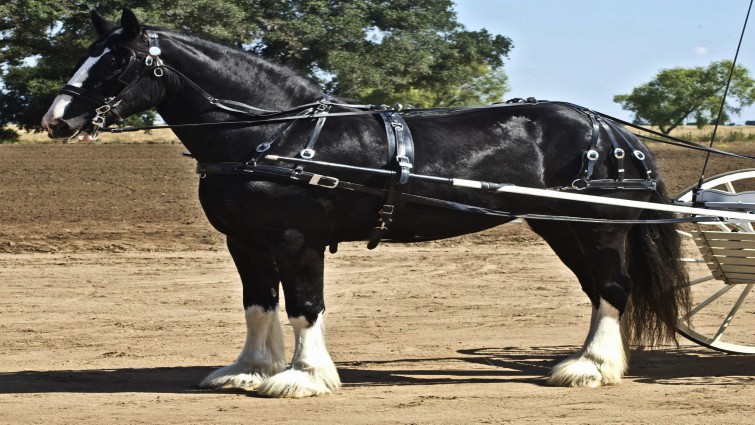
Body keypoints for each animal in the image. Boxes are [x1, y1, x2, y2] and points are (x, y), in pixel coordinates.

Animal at [42, 9, 690, 397]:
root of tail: (610, 129)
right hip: (559, 227)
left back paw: (591, 368)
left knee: (612, 289)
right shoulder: (244, 241)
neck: (272, 133)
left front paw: (303, 377)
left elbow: (304, 305)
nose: (54, 121)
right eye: (87, 53)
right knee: (599, 290)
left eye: (117, 61)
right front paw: (251, 369)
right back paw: (589, 363)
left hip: (597, 226)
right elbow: (258, 304)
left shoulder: (295, 238)